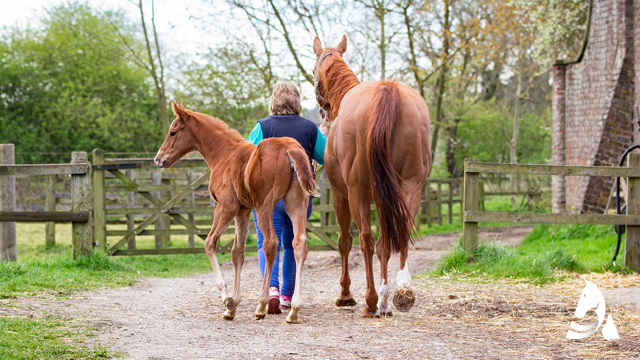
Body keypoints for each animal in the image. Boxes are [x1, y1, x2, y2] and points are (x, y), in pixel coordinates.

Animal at [153, 102, 318, 324]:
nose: (159, 159)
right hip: (296, 203)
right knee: (298, 243)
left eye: (173, 132)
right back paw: (294, 309)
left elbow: (210, 243)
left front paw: (227, 300)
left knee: (270, 244)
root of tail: (289, 148)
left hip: (264, 206)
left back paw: (262, 305)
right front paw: (233, 305)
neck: (224, 153)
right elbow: (237, 252)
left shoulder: (226, 206)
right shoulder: (242, 211)